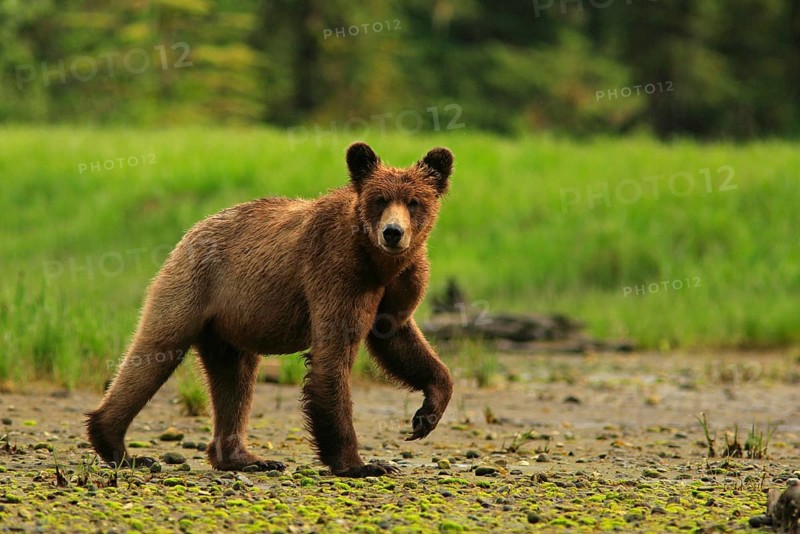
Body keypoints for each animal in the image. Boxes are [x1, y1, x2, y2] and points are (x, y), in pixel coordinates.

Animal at [86, 142, 455, 477]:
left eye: (414, 202)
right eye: (379, 200)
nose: (393, 232)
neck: (379, 263)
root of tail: (191, 230)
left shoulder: (401, 285)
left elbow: (399, 341)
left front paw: (426, 415)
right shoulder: (336, 272)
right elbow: (332, 358)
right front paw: (362, 464)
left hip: (229, 324)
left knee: (234, 380)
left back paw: (245, 458)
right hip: (194, 287)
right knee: (155, 352)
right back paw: (120, 447)